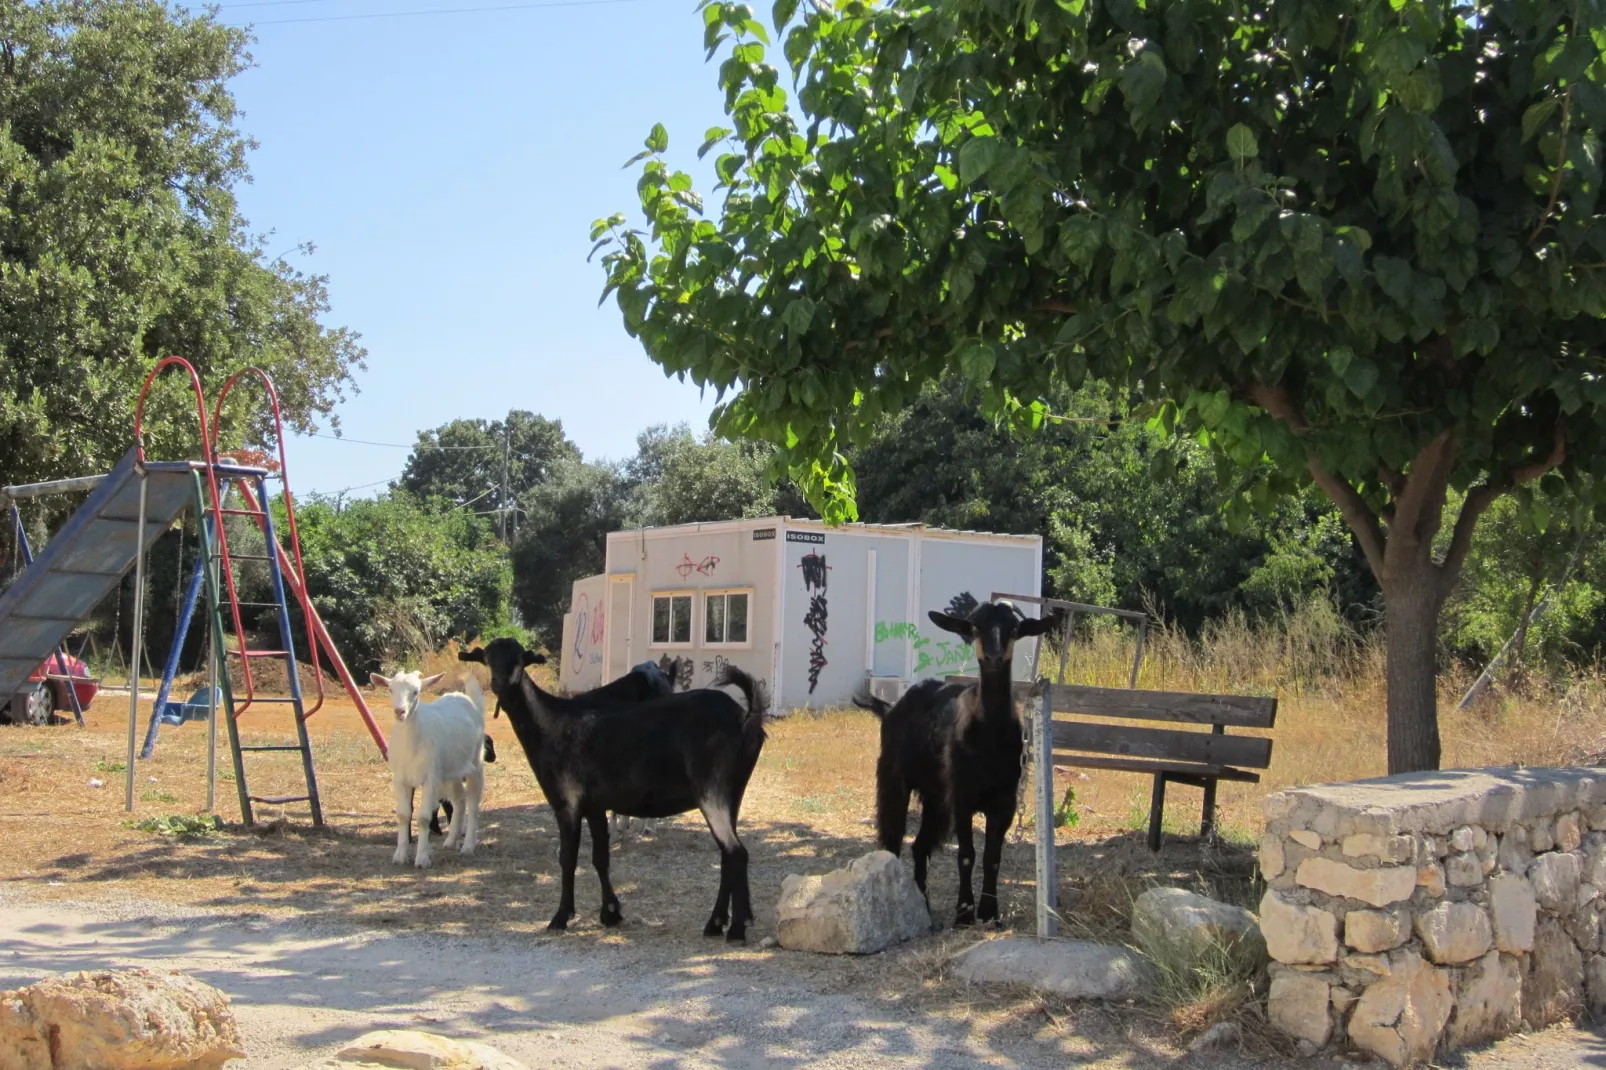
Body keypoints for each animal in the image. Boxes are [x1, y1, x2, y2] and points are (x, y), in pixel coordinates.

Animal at [372, 668, 485, 867]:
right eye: (390, 690)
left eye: (416, 691)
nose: (400, 711)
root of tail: (468, 701)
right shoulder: (400, 778)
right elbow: (403, 814)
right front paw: (400, 855)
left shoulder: (430, 778)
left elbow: (424, 817)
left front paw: (422, 858)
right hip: (450, 772)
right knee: (459, 799)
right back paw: (451, 840)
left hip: (475, 762)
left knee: (473, 802)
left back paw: (468, 846)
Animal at [462, 636, 767, 938]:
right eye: (487, 658)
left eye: (519, 658)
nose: (500, 683)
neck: (551, 723)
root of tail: (745, 719)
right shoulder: (594, 805)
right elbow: (601, 857)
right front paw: (610, 913)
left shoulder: (567, 800)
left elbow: (568, 857)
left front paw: (561, 917)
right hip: (733, 793)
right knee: (728, 854)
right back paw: (716, 923)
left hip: (712, 791)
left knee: (736, 852)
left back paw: (735, 929)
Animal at [854, 600, 1053, 925]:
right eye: (974, 627)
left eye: (1013, 629)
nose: (994, 656)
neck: (989, 736)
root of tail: (891, 707)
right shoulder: (962, 798)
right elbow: (966, 855)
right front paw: (964, 913)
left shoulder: (1005, 802)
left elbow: (992, 858)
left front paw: (990, 913)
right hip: (894, 780)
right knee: (892, 840)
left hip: (936, 797)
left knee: (920, 846)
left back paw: (924, 907)